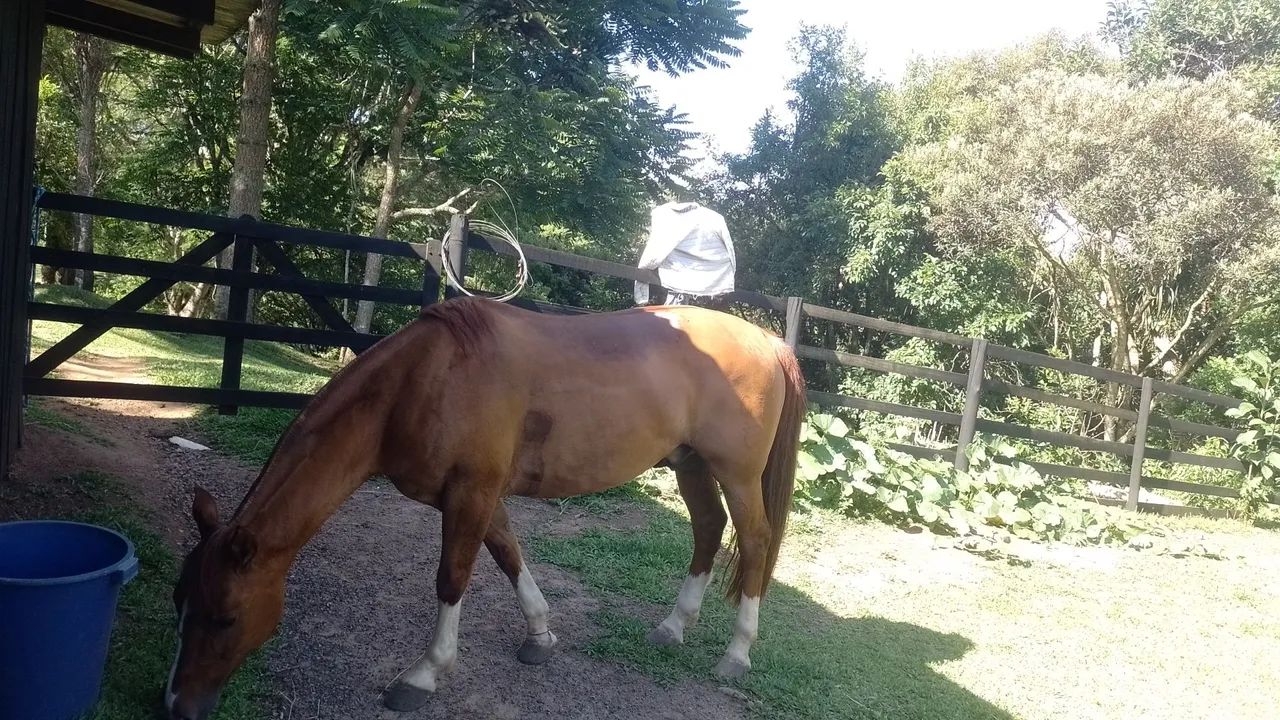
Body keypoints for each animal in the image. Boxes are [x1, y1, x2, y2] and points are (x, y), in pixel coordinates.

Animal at [164, 296, 805, 720]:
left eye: (225, 617)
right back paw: (673, 626)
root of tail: (770, 342)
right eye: (179, 600)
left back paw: (736, 653)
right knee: (708, 530)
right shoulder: (481, 494)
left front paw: (425, 674)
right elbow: (507, 556)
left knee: (752, 542)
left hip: (736, 474)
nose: (175, 706)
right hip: (691, 464)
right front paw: (539, 634)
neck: (425, 379)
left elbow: (452, 577)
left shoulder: (469, 492)